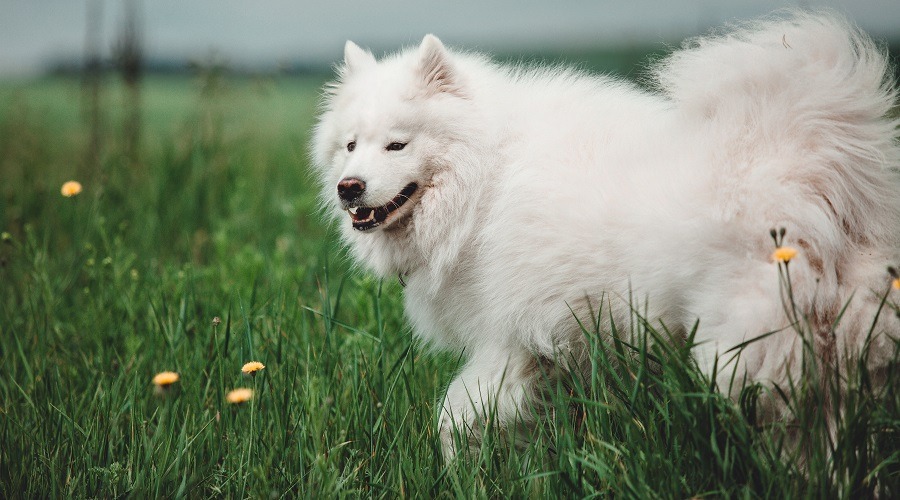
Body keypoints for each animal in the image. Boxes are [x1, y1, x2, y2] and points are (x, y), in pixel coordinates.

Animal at [312, 10, 900, 458]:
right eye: (350, 145)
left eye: (397, 145)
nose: (349, 188)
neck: (486, 172)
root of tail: (823, 166)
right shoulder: (554, 347)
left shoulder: (508, 337)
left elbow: (455, 414)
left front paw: (455, 468)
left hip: (742, 347)